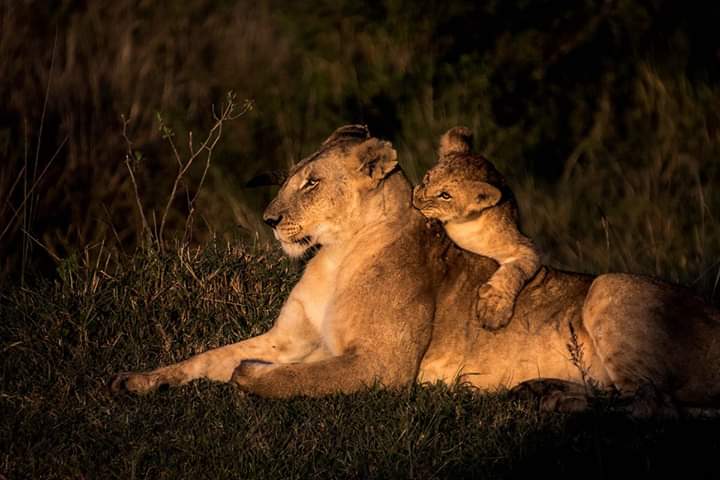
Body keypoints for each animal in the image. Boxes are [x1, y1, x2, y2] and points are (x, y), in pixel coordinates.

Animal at [413, 126, 541, 331]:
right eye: (427, 179)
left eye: (445, 195)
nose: (417, 202)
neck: (462, 226)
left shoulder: (525, 246)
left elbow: (515, 271)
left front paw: (494, 310)